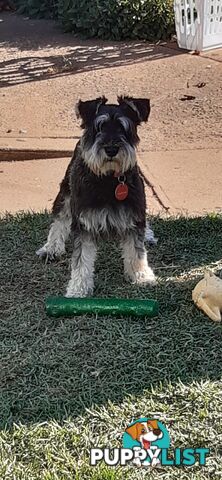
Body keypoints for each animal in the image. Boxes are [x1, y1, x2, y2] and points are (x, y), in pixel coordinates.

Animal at [36, 94, 156, 296]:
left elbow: (136, 250)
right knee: (59, 220)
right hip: (65, 193)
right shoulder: (84, 224)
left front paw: (141, 275)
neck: (109, 180)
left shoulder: (134, 216)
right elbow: (81, 260)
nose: (111, 149)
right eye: (99, 128)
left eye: (123, 127)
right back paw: (51, 248)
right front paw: (78, 289)